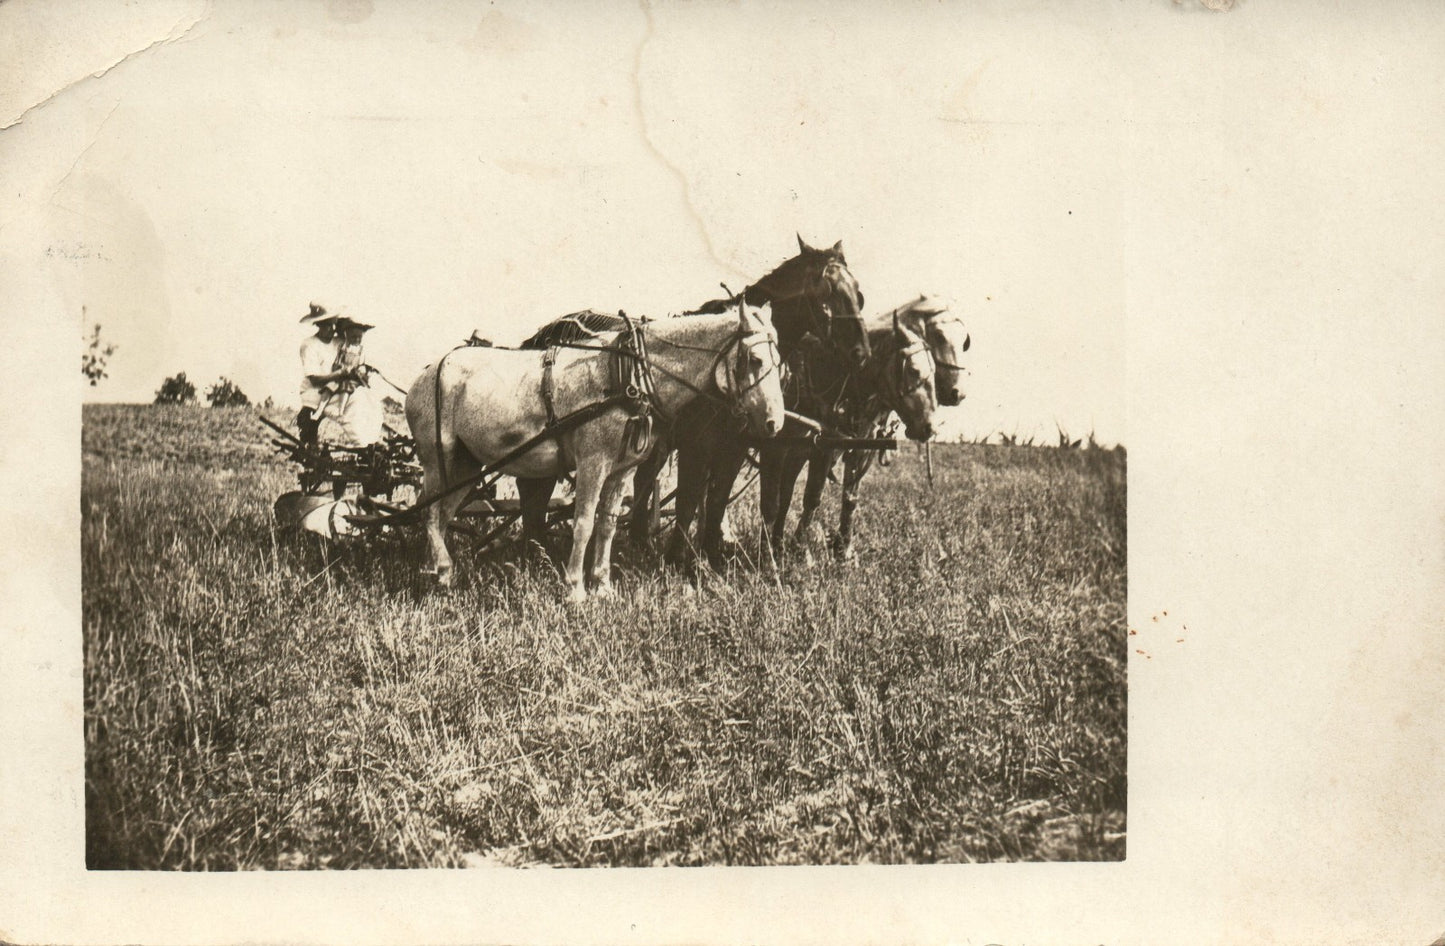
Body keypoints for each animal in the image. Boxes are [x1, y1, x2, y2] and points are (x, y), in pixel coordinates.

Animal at [404, 306, 784, 597]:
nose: (775, 423)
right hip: (437, 460)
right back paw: (439, 570)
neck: (630, 374)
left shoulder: (622, 469)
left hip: (467, 465)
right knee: (430, 512)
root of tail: (426, 373)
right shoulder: (593, 462)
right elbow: (584, 523)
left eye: (778, 360)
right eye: (754, 359)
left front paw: (602, 586)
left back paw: (435, 570)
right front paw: (575, 588)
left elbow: (607, 524)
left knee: (441, 513)